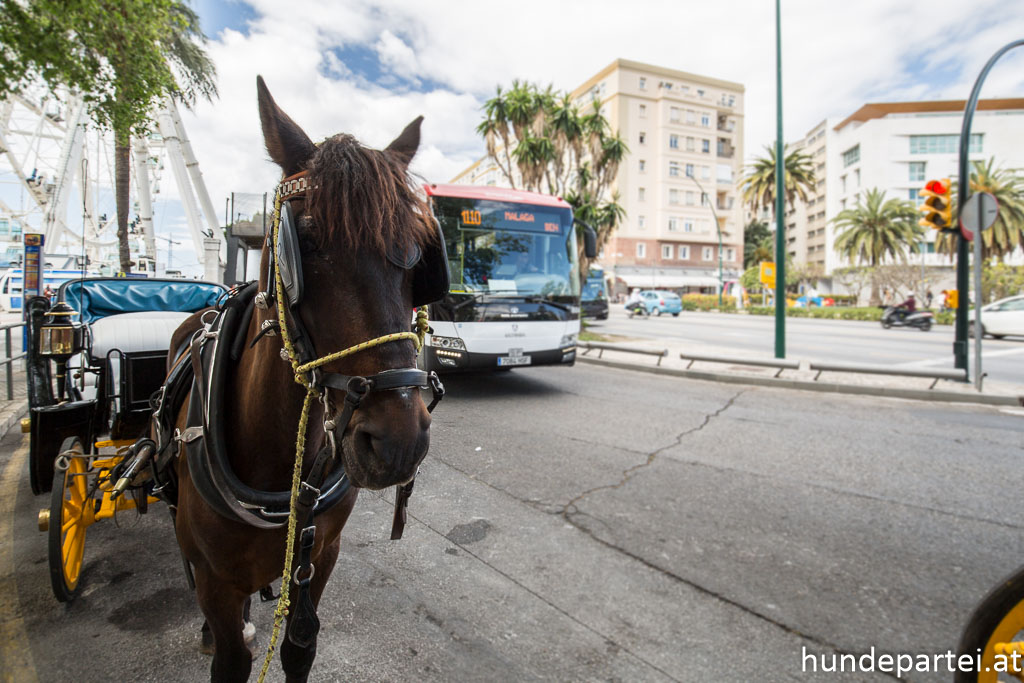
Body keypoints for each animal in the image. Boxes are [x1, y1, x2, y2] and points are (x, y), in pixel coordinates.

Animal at [163, 77, 444, 679]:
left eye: (418, 255)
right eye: (307, 243)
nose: (398, 441)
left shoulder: (320, 557)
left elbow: (299, 647)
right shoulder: (216, 579)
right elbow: (232, 659)